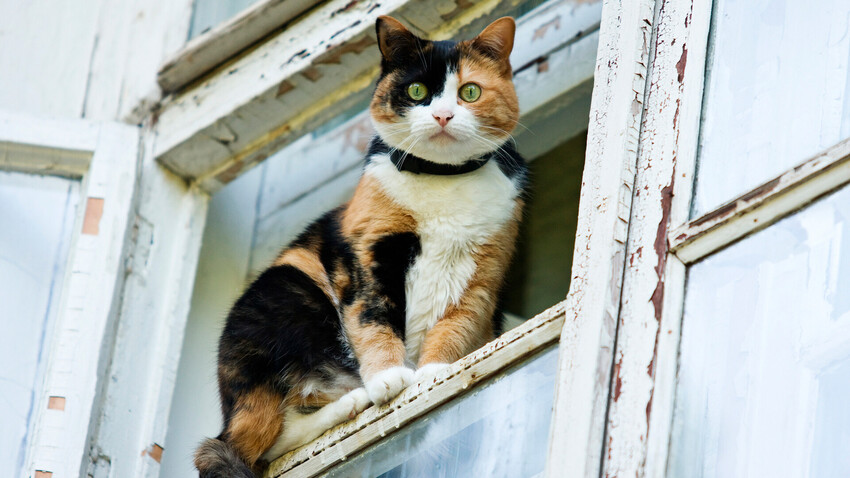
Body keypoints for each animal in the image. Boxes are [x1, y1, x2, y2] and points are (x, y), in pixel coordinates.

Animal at [195, 14, 528, 478]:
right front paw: (388, 377)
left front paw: (433, 373)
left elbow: (455, 325)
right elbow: (373, 316)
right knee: (259, 441)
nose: (443, 115)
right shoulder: (368, 253)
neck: (444, 182)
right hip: (290, 292)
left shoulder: (485, 273)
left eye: (470, 92)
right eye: (417, 91)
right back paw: (355, 399)